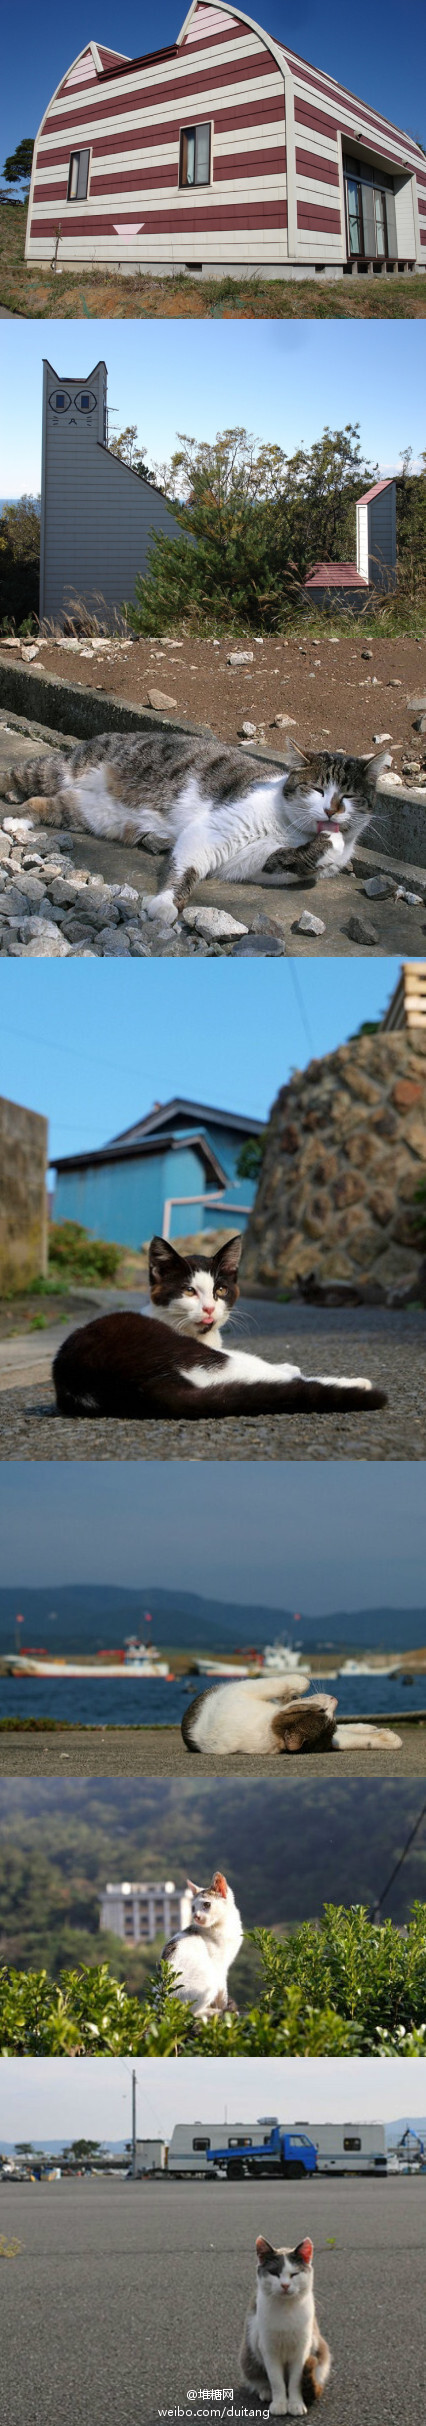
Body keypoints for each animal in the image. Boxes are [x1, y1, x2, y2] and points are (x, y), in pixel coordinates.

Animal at [4, 722, 389, 921]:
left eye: (349, 796)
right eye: (317, 789)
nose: (332, 811)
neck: (292, 830)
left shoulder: (255, 864)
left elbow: (291, 860)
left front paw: (327, 844)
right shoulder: (213, 830)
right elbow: (185, 868)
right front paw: (165, 904)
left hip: (89, 813)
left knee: (45, 803)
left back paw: (21, 822)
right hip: (61, 769)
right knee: (18, 775)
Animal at [51, 1242, 387, 1416]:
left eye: (220, 1290)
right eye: (189, 1291)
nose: (210, 1309)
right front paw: (292, 1367)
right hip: (194, 1355)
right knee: (273, 1376)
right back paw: (354, 1383)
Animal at [160, 1863, 243, 2018]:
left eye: (206, 1905)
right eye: (193, 1908)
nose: (196, 1916)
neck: (224, 1925)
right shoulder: (220, 1967)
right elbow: (223, 1993)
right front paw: (224, 2006)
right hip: (208, 1981)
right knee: (191, 2013)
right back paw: (213, 2011)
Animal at [181, 1678, 401, 1756]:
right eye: (321, 1712)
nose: (335, 1699)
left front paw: (387, 1739)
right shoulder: (240, 1691)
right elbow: (293, 1680)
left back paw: (369, 1727)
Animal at [239, 2222, 334, 2416]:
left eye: (294, 2274)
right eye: (274, 2273)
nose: (284, 2285)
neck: (286, 2310)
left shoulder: (302, 2350)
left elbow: (295, 2381)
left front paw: (296, 2404)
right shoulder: (268, 2349)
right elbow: (276, 2381)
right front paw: (279, 2403)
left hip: (320, 2352)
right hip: (249, 2353)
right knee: (260, 2380)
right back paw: (266, 2392)